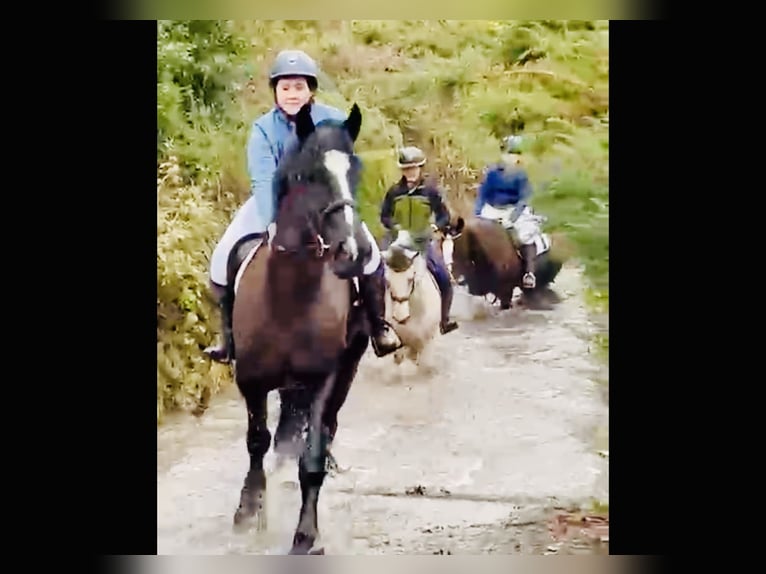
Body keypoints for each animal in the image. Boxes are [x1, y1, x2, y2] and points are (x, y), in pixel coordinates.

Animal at [225, 101, 376, 556]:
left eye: (355, 170)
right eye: (309, 174)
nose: (354, 253)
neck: (290, 296)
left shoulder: (322, 378)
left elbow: (310, 457)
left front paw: (306, 535)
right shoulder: (251, 380)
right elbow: (256, 441)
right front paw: (248, 510)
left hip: (346, 370)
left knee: (323, 431)